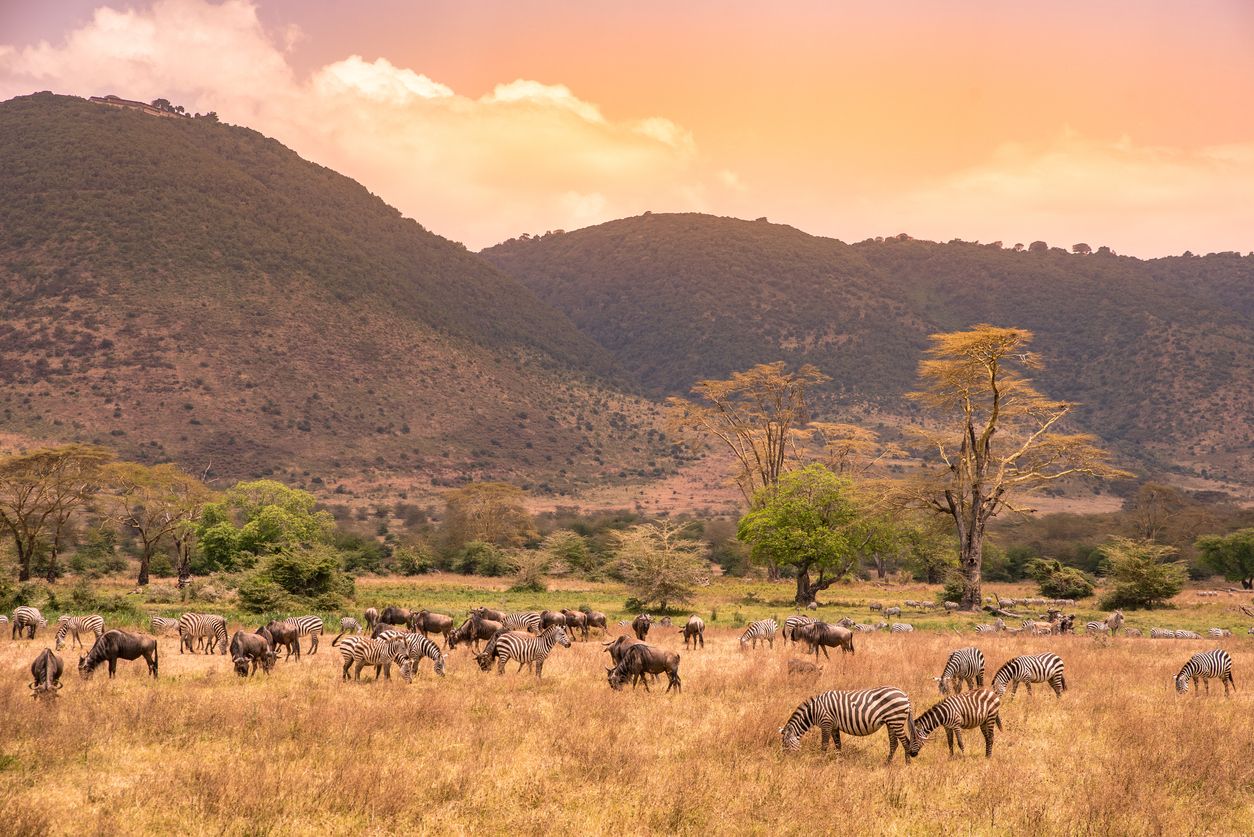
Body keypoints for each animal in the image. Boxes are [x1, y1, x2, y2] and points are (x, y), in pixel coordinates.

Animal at [777, 687, 917, 767]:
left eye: (785, 744)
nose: (783, 762)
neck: (813, 712)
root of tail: (904, 695)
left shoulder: (826, 723)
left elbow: (824, 745)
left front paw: (820, 762)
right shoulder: (834, 726)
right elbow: (838, 745)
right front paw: (840, 762)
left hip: (895, 721)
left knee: (906, 742)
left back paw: (907, 765)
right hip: (891, 722)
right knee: (894, 743)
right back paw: (886, 764)